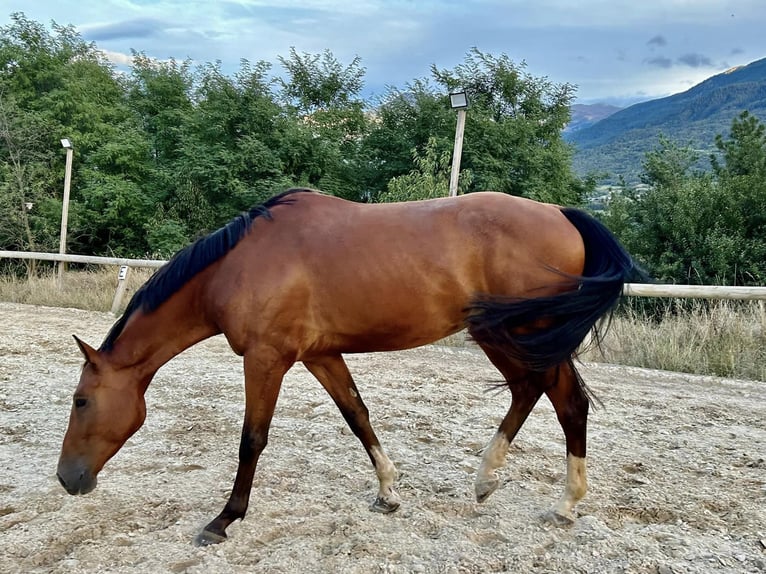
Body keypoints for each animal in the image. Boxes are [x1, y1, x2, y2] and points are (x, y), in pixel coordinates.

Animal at [57, 190, 640, 548]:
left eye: (81, 400)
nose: (67, 478)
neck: (237, 265)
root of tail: (561, 213)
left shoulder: (266, 358)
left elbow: (252, 439)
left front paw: (224, 519)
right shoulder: (320, 355)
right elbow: (357, 416)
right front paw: (388, 492)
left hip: (517, 333)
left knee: (562, 400)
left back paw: (560, 502)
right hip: (507, 334)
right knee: (532, 391)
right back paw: (490, 481)